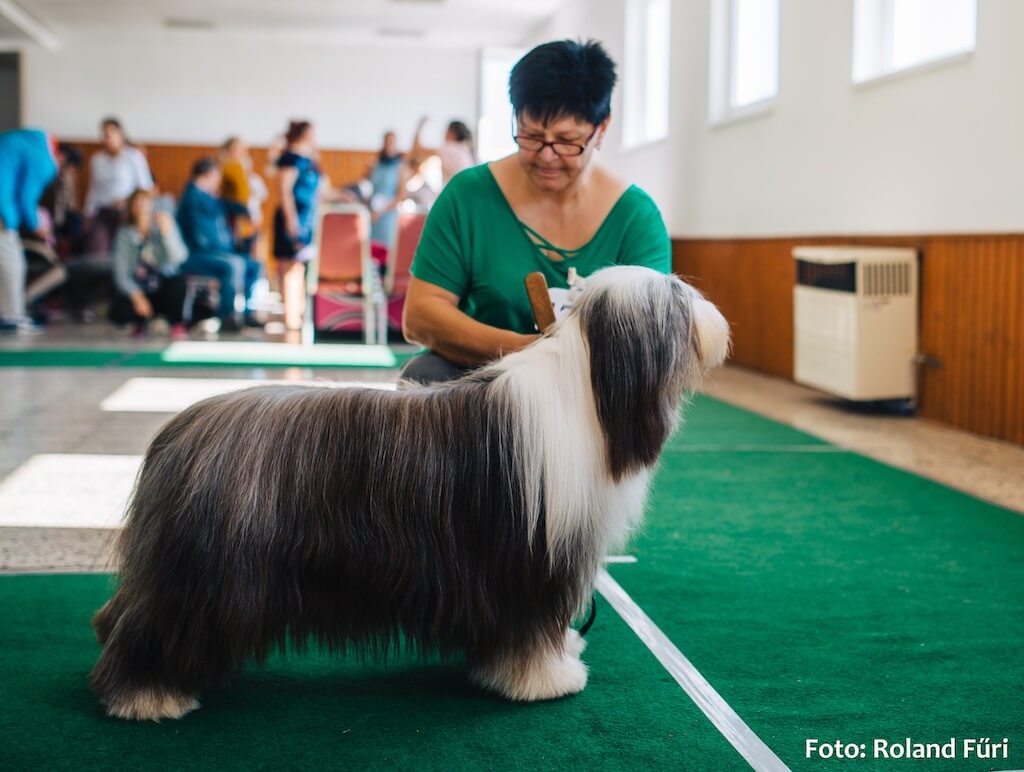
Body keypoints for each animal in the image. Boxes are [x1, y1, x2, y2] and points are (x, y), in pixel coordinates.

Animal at [88, 264, 729, 716]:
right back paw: (148, 696)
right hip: (210, 572)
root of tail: (179, 429)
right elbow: (529, 631)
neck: (589, 389)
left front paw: (562, 653)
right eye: (677, 297)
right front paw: (548, 680)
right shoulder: (527, 560)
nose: (719, 321)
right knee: (157, 623)